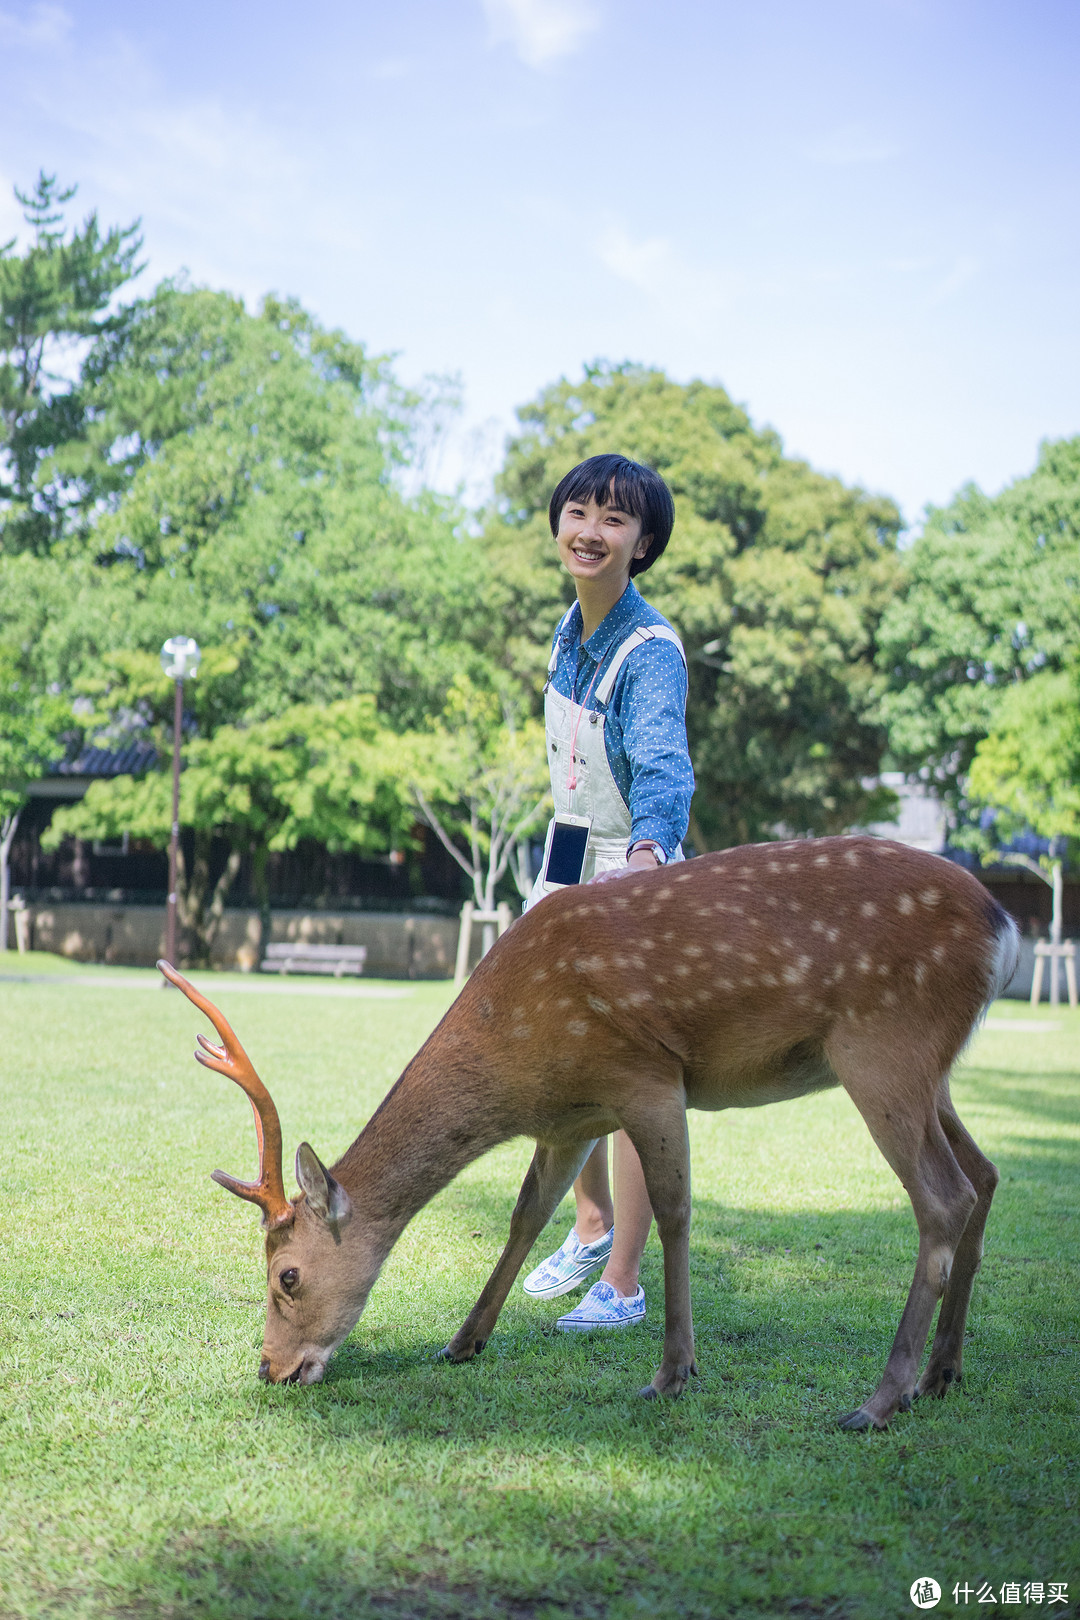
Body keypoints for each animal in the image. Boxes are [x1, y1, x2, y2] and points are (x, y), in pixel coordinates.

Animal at [162, 842, 1023, 1425]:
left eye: (287, 1277)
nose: (271, 1369)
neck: (519, 1059)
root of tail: (1005, 928)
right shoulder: (573, 1118)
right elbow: (525, 1217)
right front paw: (462, 1341)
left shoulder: (646, 1076)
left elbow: (673, 1212)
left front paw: (673, 1373)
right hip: (931, 1071)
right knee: (985, 1176)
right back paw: (943, 1373)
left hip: (884, 1045)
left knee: (943, 1198)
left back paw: (880, 1398)